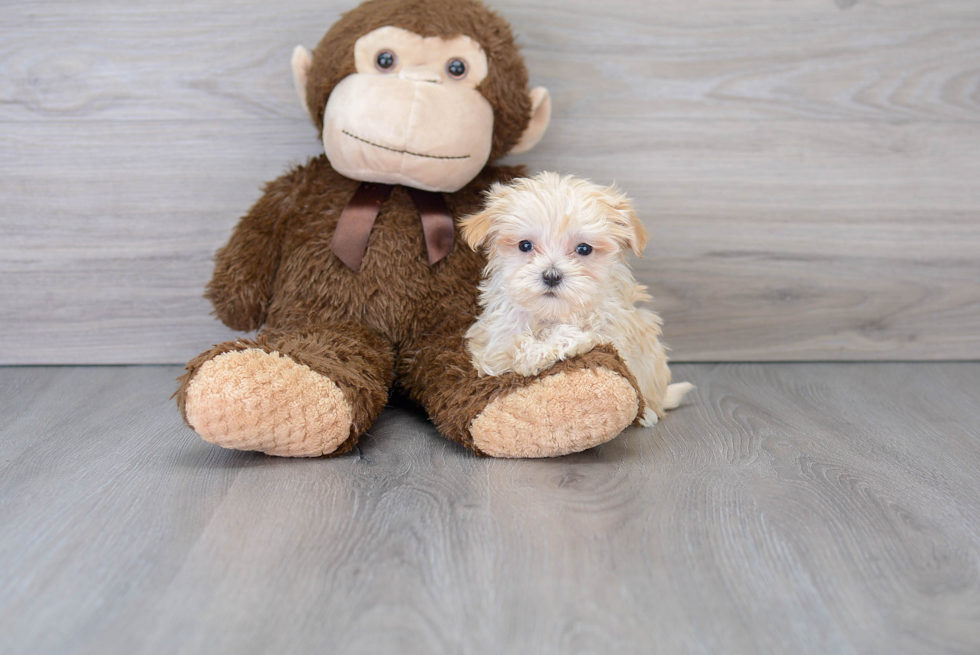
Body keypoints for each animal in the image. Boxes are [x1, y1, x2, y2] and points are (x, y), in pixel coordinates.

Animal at [458, 170, 688, 426]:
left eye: (584, 249)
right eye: (525, 245)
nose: (551, 276)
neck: (552, 313)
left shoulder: (617, 331)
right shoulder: (493, 344)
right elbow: (513, 346)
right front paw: (537, 353)